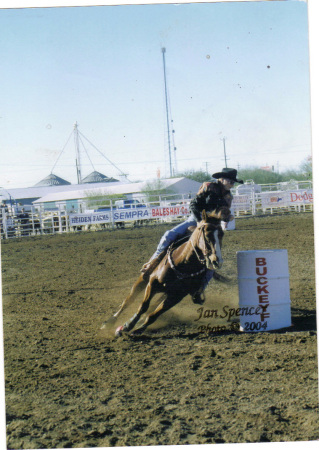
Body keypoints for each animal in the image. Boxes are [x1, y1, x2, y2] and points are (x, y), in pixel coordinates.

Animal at [104, 206, 231, 336]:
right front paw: (127, 325)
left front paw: (138, 329)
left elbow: (153, 315)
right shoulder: (152, 284)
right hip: (144, 277)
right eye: (206, 233)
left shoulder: (176, 296)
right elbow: (143, 306)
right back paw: (110, 321)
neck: (183, 264)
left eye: (221, 234)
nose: (217, 261)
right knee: (129, 299)